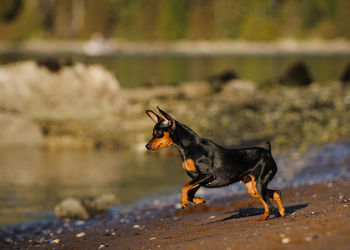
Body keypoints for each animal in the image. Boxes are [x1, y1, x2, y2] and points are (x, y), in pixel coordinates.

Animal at [145, 106, 284, 220]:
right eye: (153, 133)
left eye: (157, 133)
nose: (146, 146)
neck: (190, 146)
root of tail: (268, 152)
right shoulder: (198, 178)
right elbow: (190, 191)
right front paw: (198, 200)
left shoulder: (207, 175)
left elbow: (185, 187)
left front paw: (183, 201)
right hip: (253, 188)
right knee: (277, 193)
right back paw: (282, 212)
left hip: (259, 184)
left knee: (269, 205)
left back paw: (262, 219)